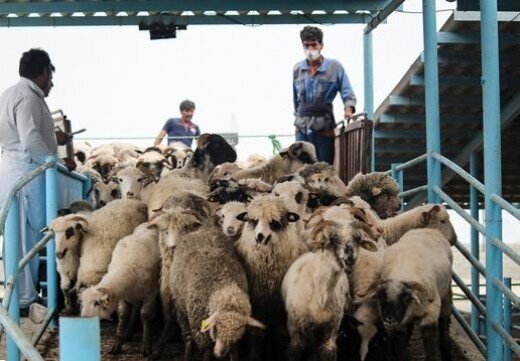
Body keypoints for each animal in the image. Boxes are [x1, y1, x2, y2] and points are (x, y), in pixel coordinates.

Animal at [168, 224, 264, 358]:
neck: (224, 288)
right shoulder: (200, 332)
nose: (219, 353)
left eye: (237, 330)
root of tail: (202, 230)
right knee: (186, 333)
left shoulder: (235, 342)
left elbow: (234, 352)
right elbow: (207, 351)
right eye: (218, 326)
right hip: (179, 306)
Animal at [234, 195, 306, 358]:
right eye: (253, 220)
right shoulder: (257, 308)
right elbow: (256, 336)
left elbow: (281, 336)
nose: (259, 237)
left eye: (275, 222)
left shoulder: (280, 313)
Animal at [284, 219, 378, 360]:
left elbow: (328, 352)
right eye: (334, 238)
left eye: (358, 238)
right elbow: (295, 351)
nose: (349, 259)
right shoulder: (294, 328)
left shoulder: (333, 326)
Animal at [362, 228, 450, 360]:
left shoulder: (431, 314)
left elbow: (430, 343)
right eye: (381, 296)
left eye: (406, 298)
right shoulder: (400, 323)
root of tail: (428, 229)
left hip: (447, 293)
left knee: (445, 323)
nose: (389, 320)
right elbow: (400, 341)